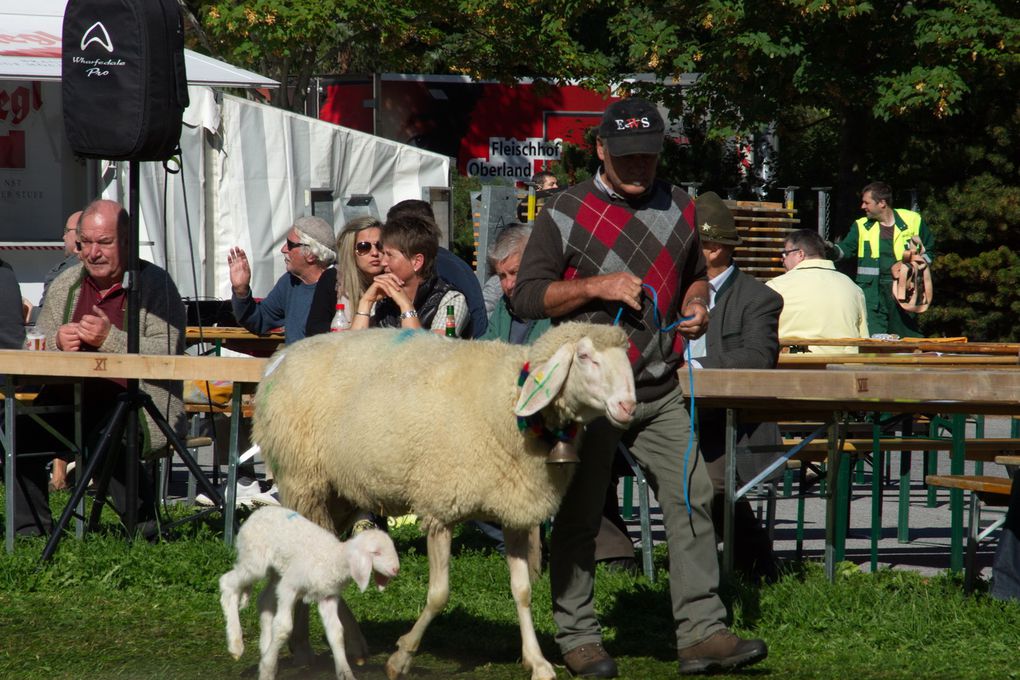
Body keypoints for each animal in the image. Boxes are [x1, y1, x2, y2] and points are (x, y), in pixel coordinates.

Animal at [218, 505, 397, 680]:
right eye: (376, 552)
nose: (396, 569)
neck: (333, 558)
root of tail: (257, 512)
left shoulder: (327, 597)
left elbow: (336, 633)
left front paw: (346, 673)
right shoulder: (289, 587)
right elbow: (283, 628)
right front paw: (266, 669)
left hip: (278, 571)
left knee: (264, 600)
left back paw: (265, 648)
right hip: (255, 561)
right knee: (227, 582)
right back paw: (236, 645)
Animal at [253, 320, 632, 680]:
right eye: (584, 356)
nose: (628, 406)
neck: (507, 401)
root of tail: (281, 357)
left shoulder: (513, 510)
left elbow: (522, 590)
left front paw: (537, 661)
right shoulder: (440, 508)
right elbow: (439, 594)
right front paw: (401, 658)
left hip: (337, 492)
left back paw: (319, 647)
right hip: (304, 479)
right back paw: (330, 647)